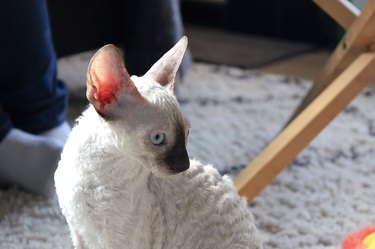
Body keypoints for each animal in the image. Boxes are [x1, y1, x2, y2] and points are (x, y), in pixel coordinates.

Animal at [55, 37, 262, 249]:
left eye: (187, 133)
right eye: (158, 138)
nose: (184, 165)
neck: (96, 173)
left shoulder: (120, 242)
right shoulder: (77, 231)